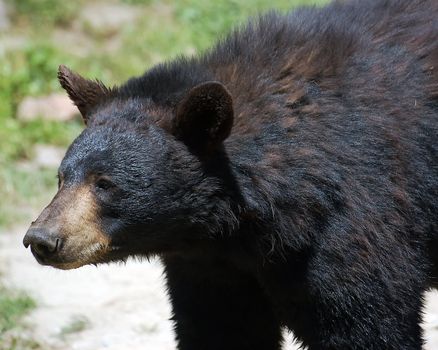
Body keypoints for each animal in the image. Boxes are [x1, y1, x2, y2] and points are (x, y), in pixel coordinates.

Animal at [23, 0, 438, 348]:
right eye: (62, 177)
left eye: (105, 183)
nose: (41, 239)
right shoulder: (213, 267)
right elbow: (222, 328)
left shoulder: (354, 224)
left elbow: (365, 323)